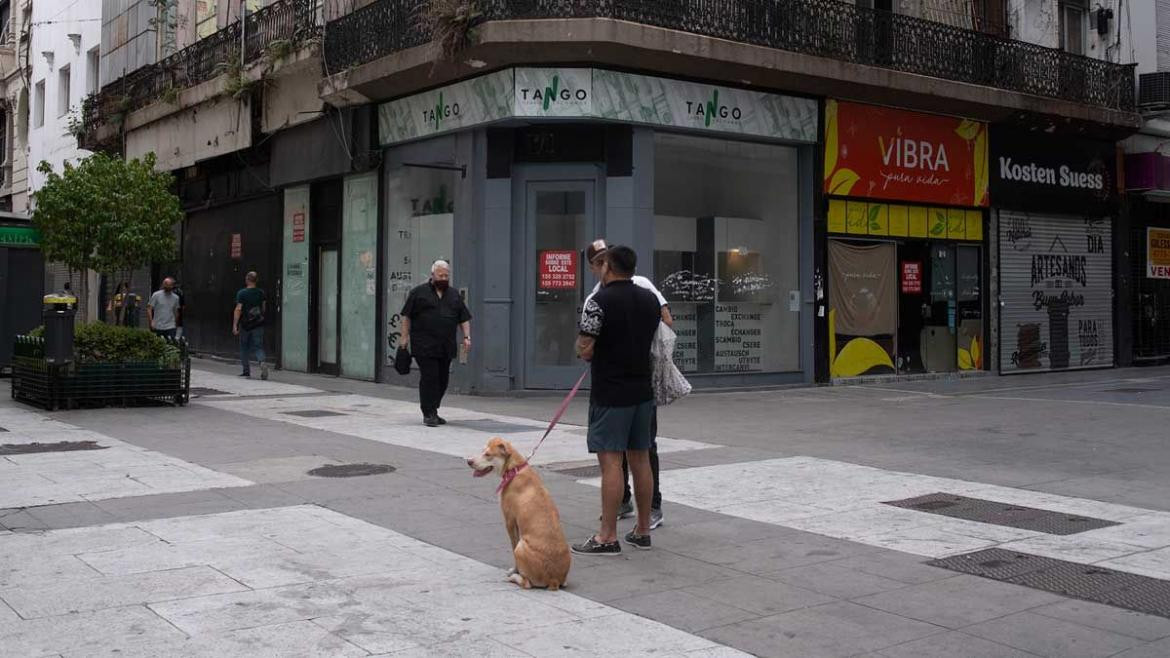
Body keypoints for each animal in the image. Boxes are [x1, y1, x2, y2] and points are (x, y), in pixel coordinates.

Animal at [467, 437, 573, 585]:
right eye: (482, 451)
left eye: (488, 454)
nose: (469, 461)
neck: (514, 469)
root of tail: (554, 580)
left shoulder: (510, 521)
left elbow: (512, 546)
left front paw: (514, 571)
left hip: (521, 546)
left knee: (526, 583)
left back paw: (514, 577)